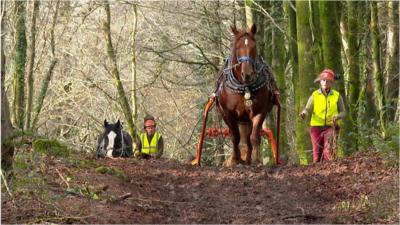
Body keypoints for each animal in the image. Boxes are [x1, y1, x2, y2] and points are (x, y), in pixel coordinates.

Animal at [216, 24, 278, 166]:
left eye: (253, 46)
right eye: (237, 47)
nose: (248, 74)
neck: (245, 87)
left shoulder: (259, 112)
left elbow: (254, 137)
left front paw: (256, 160)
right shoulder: (228, 113)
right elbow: (235, 136)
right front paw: (235, 159)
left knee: (249, 138)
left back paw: (249, 159)